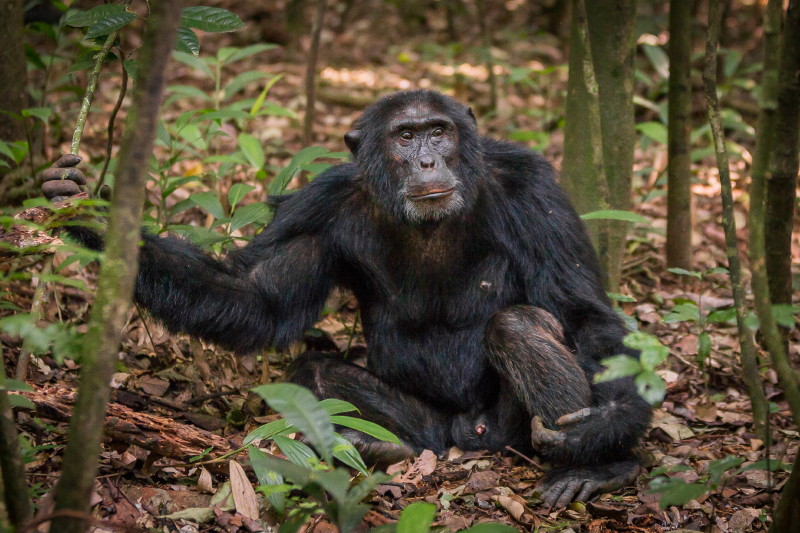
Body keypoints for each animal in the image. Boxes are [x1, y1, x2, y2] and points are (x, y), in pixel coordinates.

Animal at [42, 89, 648, 504]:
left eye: (439, 131)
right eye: (405, 137)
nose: (428, 160)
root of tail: (465, 439)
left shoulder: (532, 188)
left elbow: (581, 311)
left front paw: (607, 425)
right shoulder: (317, 207)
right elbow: (258, 298)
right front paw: (91, 217)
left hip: (509, 434)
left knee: (520, 326)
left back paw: (596, 468)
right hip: (427, 427)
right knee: (317, 372)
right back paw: (380, 448)